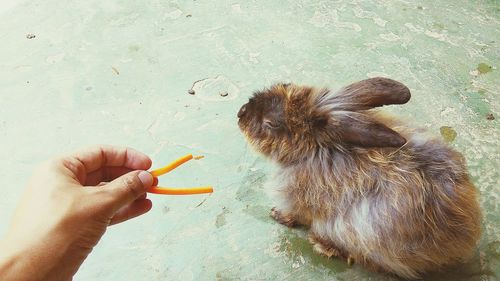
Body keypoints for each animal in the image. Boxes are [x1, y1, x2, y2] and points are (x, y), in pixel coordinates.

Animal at [237, 76, 480, 278]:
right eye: (284, 83)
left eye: (270, 124)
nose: (240, 114)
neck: (316, 149)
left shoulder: (301, 202)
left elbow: (296, 215)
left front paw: (277, 215)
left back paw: (322, 244)